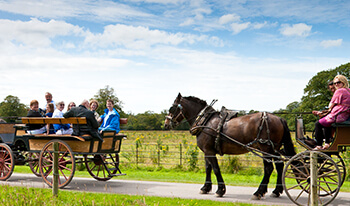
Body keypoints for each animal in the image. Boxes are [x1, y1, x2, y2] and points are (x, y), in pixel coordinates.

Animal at [164, 93, 296, 200]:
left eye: (172, 108)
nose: (165, 124)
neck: (205, 122)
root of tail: (279, 118)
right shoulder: (207, 151)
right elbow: (208, 168)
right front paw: (205, 188)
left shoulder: (209, 151)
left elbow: (216, 169)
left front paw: (220, 190)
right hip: (274, 149)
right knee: (280, 165)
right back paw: (276, 191)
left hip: (266, 149)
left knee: (268, 169)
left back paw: (258, 192)